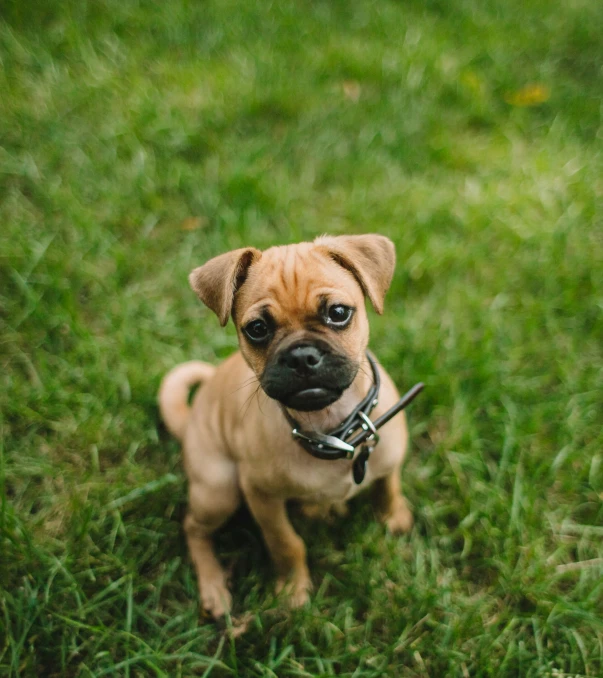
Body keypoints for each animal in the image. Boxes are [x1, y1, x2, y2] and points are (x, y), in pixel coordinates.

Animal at [159, 235, 416, 620]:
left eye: (338, 313)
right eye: (257, 329)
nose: (301, 356)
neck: (331, 428)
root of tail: (189, 422)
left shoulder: (389, 458)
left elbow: (388, 485)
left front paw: (394, 517)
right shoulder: (262, 499)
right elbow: (286, 544)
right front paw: (292, 591)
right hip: (219, 490)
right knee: (193, 528)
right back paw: (213, 587)